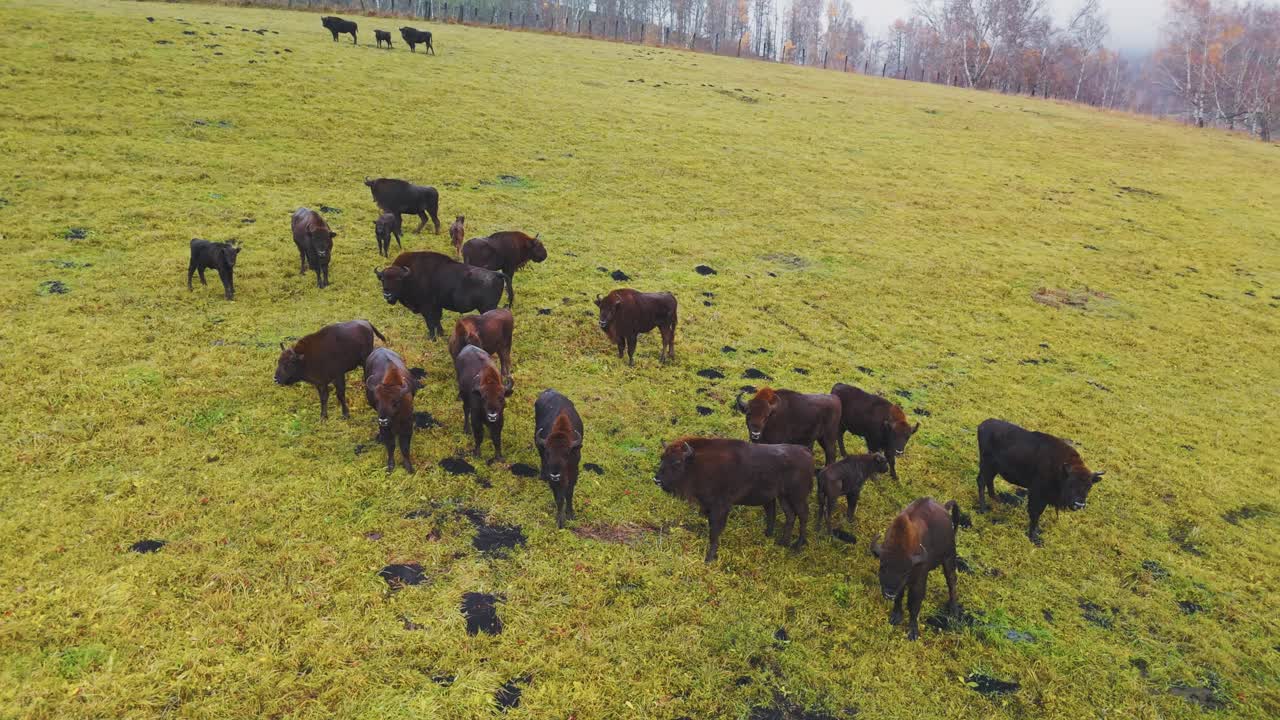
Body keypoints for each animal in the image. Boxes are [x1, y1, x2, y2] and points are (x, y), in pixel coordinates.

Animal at [376, 251, 504, 340]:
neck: (410, 276)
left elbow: (430, 322)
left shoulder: (427, 307)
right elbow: (437, 320)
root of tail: (496, 274)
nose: (387, 294)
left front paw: (431, 338)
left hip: (486, 308)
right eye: (382, 279)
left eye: (398, 279)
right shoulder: (436, 306)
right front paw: (441, 334)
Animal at [534, 390, 584, 529]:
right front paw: (559, 521)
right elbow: (559, 498)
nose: (555, 474)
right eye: (548, 452)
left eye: (566, 453)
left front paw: (570, 514)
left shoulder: (573, 472)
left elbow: (569, 493)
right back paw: (543, 476)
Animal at [653, 437, 812, 562]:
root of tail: (806, 452)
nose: (657, 479)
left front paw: (709, 558)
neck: (696, 462)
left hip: (797, 497)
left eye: (677, 462)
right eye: (662, 458)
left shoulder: (720, 507)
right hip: (783, 496)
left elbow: (715, 531)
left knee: (803, 516)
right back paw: (782, 542)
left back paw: (797, 545)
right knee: (790, 515)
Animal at [871, 497, 962, 641]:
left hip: (949, 557)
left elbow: (914, 604)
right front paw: (896, 617)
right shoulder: (901, 586)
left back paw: (954, 611)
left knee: (951, 581)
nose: (889, 593)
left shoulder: (918, 581)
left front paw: (913, 633)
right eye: (882, 567)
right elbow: (900, 597)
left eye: (906, 571)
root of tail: (944, 508)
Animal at [976, 419, 1104, 545]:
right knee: (981, 481)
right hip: (987, 465)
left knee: (989, 480)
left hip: (993, 468)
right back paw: (983, 509)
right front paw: (1034, 538)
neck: (1060, 469)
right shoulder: (1037, 494)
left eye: (1089, 486)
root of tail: (983, 425)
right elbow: (1035, 513)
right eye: (1070, 484)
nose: (1079, 504)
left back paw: (997, 499)